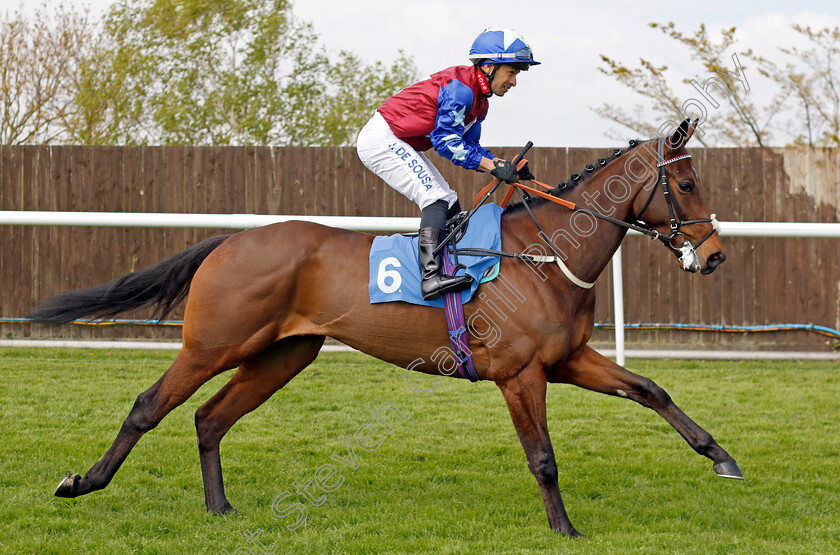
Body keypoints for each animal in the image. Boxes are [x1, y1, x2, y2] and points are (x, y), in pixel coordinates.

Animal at [32, 118, 740, 540]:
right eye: (685, 182)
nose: (713, 256)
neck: (541, 256)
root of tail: (229, 241)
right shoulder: (521, 374)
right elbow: (542, 457)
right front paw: (564, 530)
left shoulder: (567, 360)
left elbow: (650, 389)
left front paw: (722, 458)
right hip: (214, 343)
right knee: (149, 405)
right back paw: (81, 482)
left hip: (284, 354)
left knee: (210, 417)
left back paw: (219, 508)